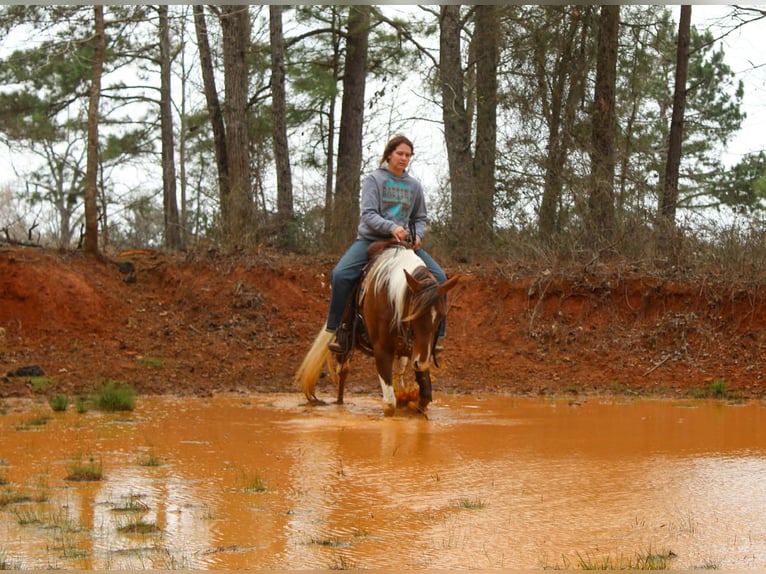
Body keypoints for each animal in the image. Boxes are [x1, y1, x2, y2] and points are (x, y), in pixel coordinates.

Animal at [295, 243, 460, 417]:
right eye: (414, 314)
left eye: (441, 316)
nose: (421, 364)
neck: (391, 297)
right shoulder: (383, 350)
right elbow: (389, 404)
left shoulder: (416, 350)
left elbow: (425, 396)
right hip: (344, 347)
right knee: (343, 372)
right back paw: (340, 405)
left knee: (398, 370)